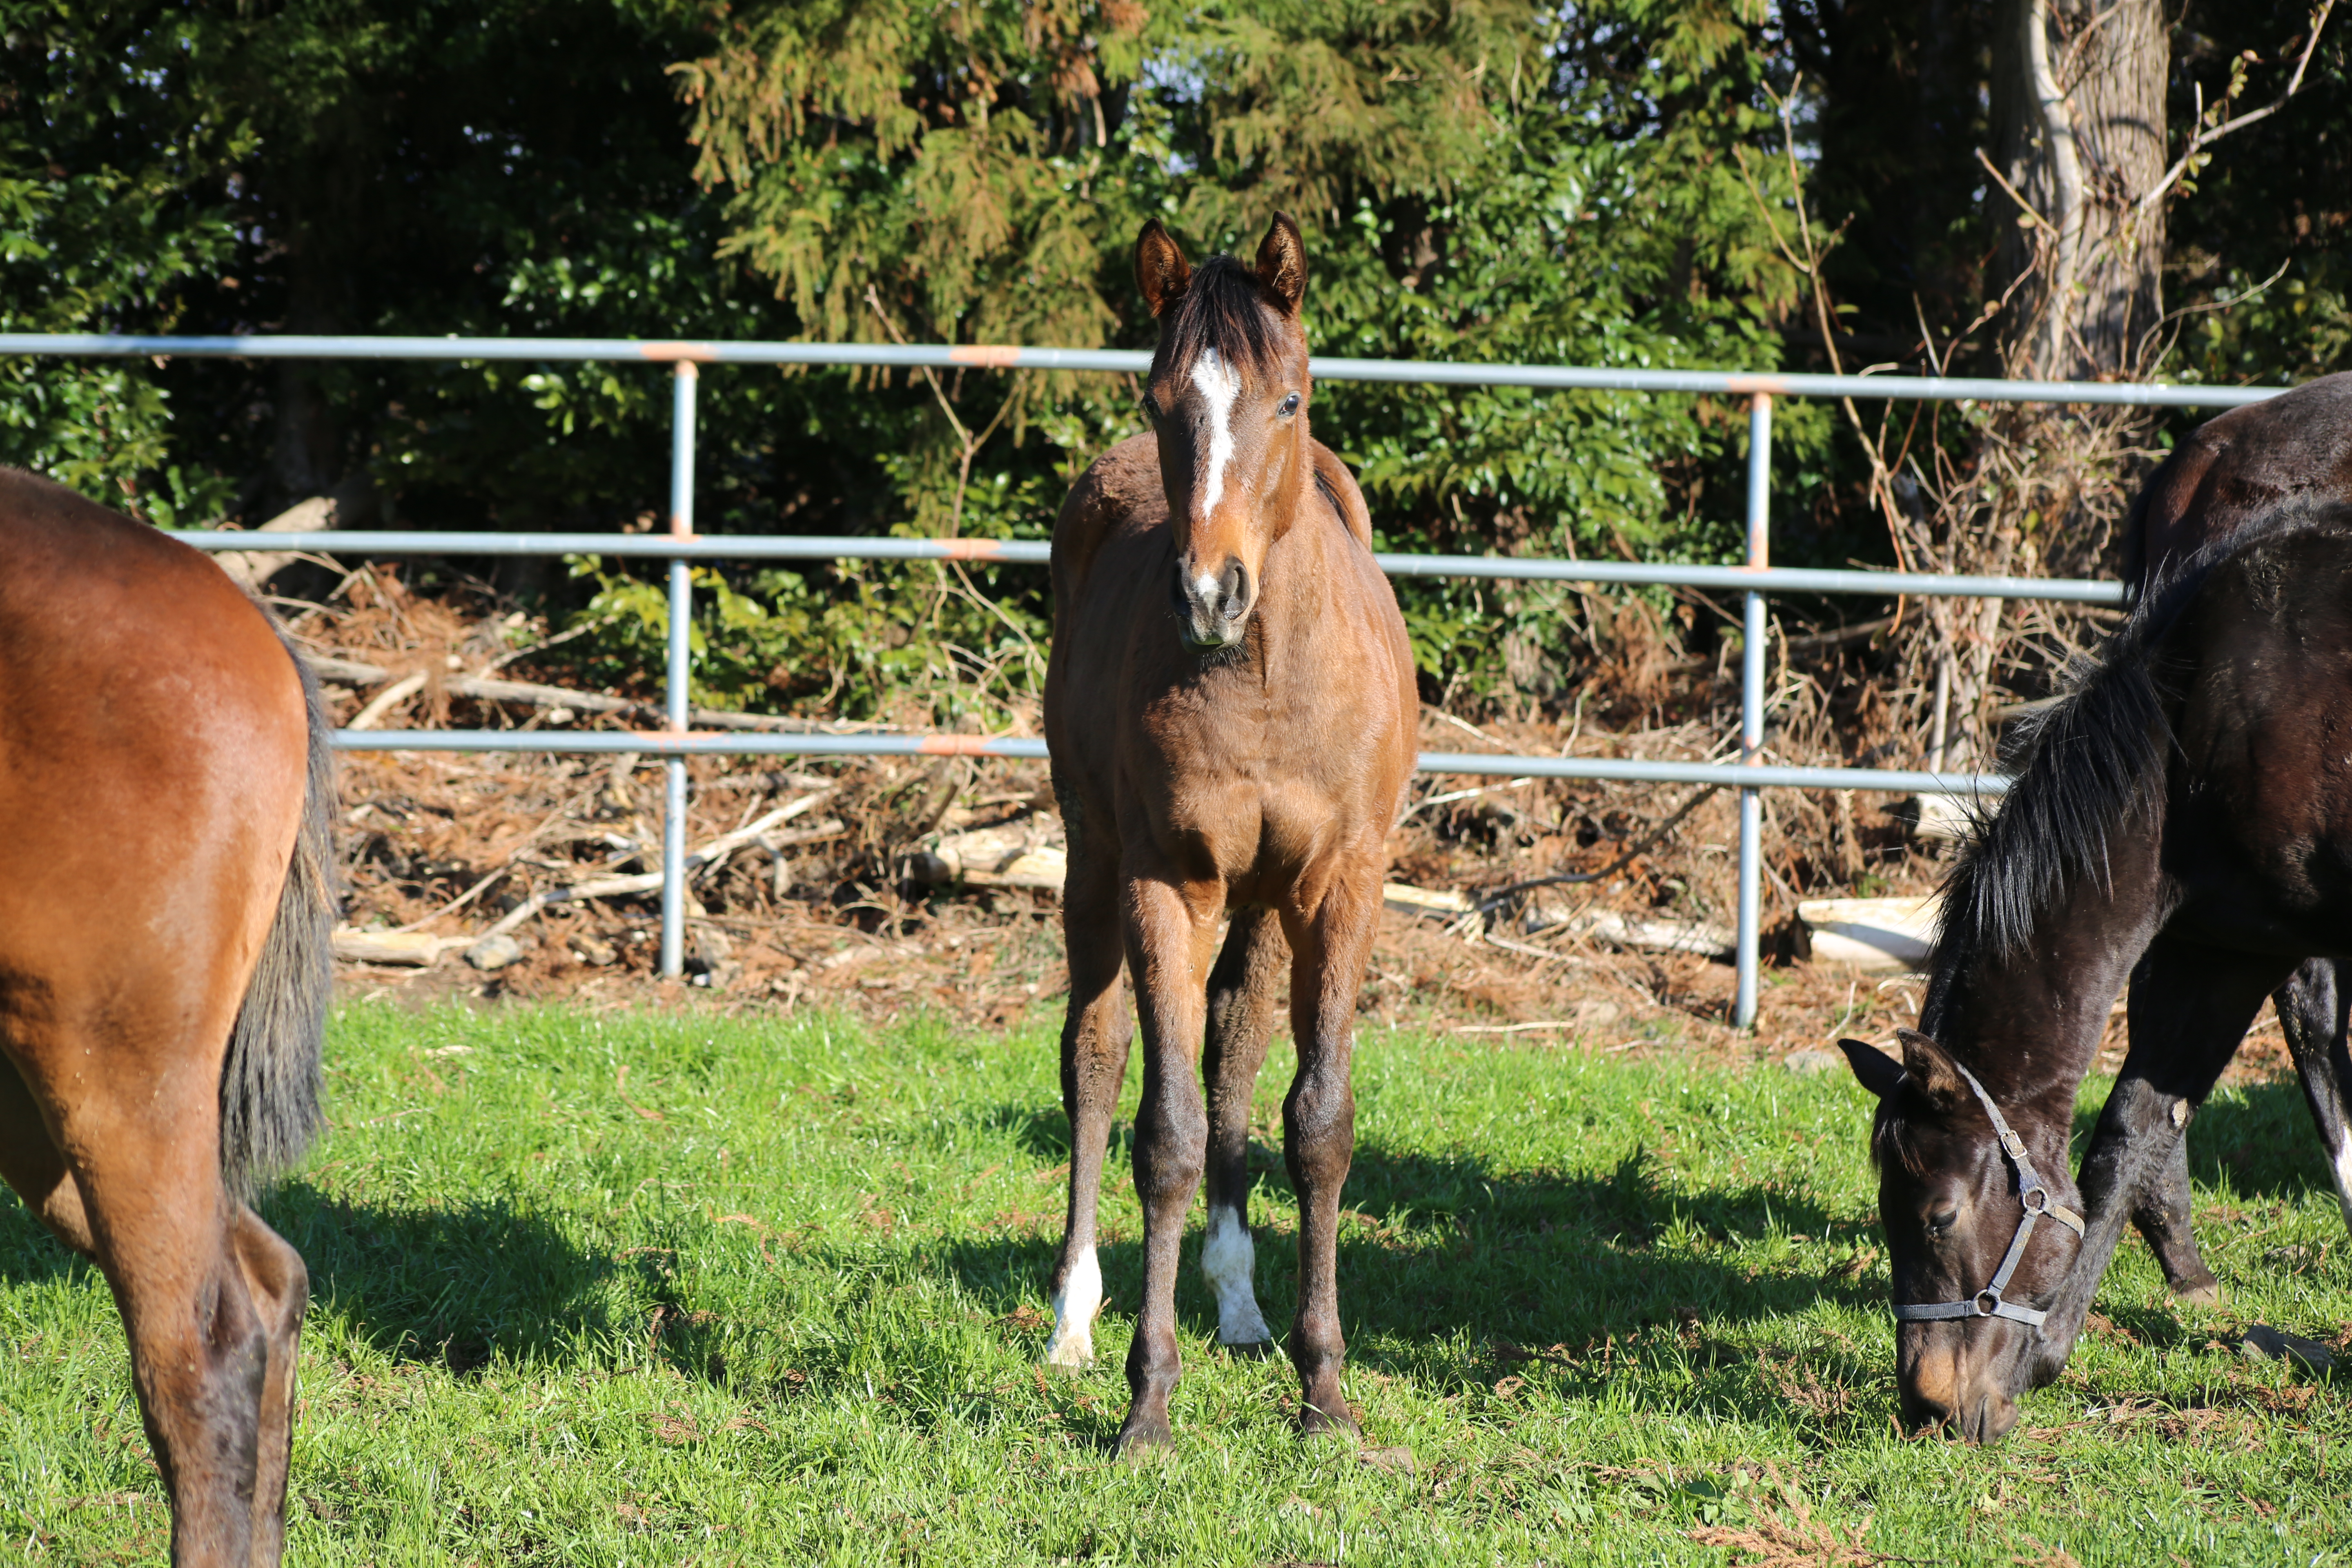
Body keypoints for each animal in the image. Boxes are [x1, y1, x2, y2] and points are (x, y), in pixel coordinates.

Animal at [1044, 215, 1411, 1457]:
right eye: (1162, 400)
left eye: (1287, 399)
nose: (1210, 593)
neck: (1262, 681)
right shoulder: (1168, 884)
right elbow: (1164, 1133)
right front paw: (1146, 1404)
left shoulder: (1342, 886)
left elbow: (1317, 1125)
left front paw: (1324, 1392)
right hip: (1095, 866)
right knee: (1095, 1059)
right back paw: (1071, 1321)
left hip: (1261, 904)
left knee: (1238, 1056)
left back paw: (1243, 1308)